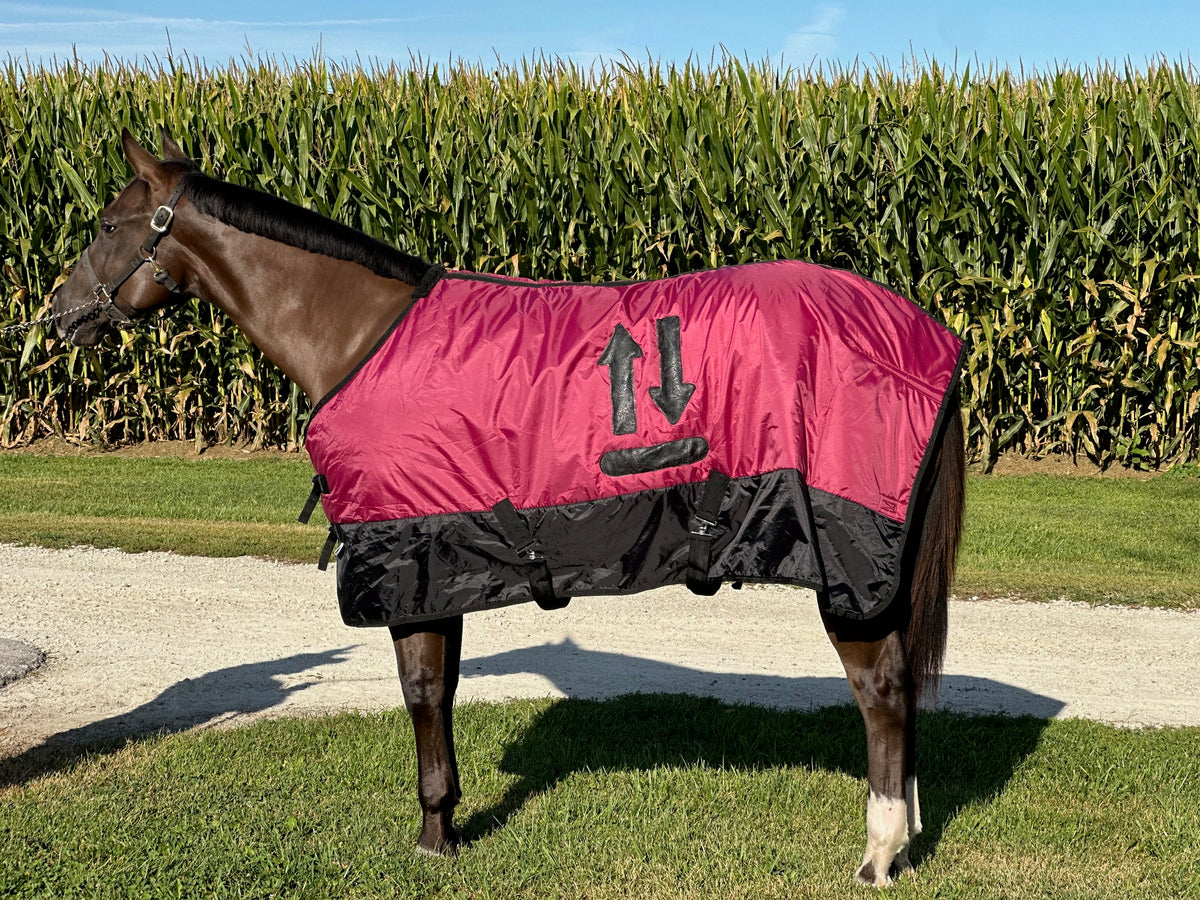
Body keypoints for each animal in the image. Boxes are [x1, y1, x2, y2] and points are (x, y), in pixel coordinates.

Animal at [52, 130, 965, 888]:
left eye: (106, 222)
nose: (59, 314)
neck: (358, 335)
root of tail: (924, 333)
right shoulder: (440, 569)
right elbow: (446, 690)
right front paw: (447, 827)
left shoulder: (406, 565)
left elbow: (423, 694)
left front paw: (432, 839)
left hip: (846, 558)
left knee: (882, 690)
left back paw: (879, 852)